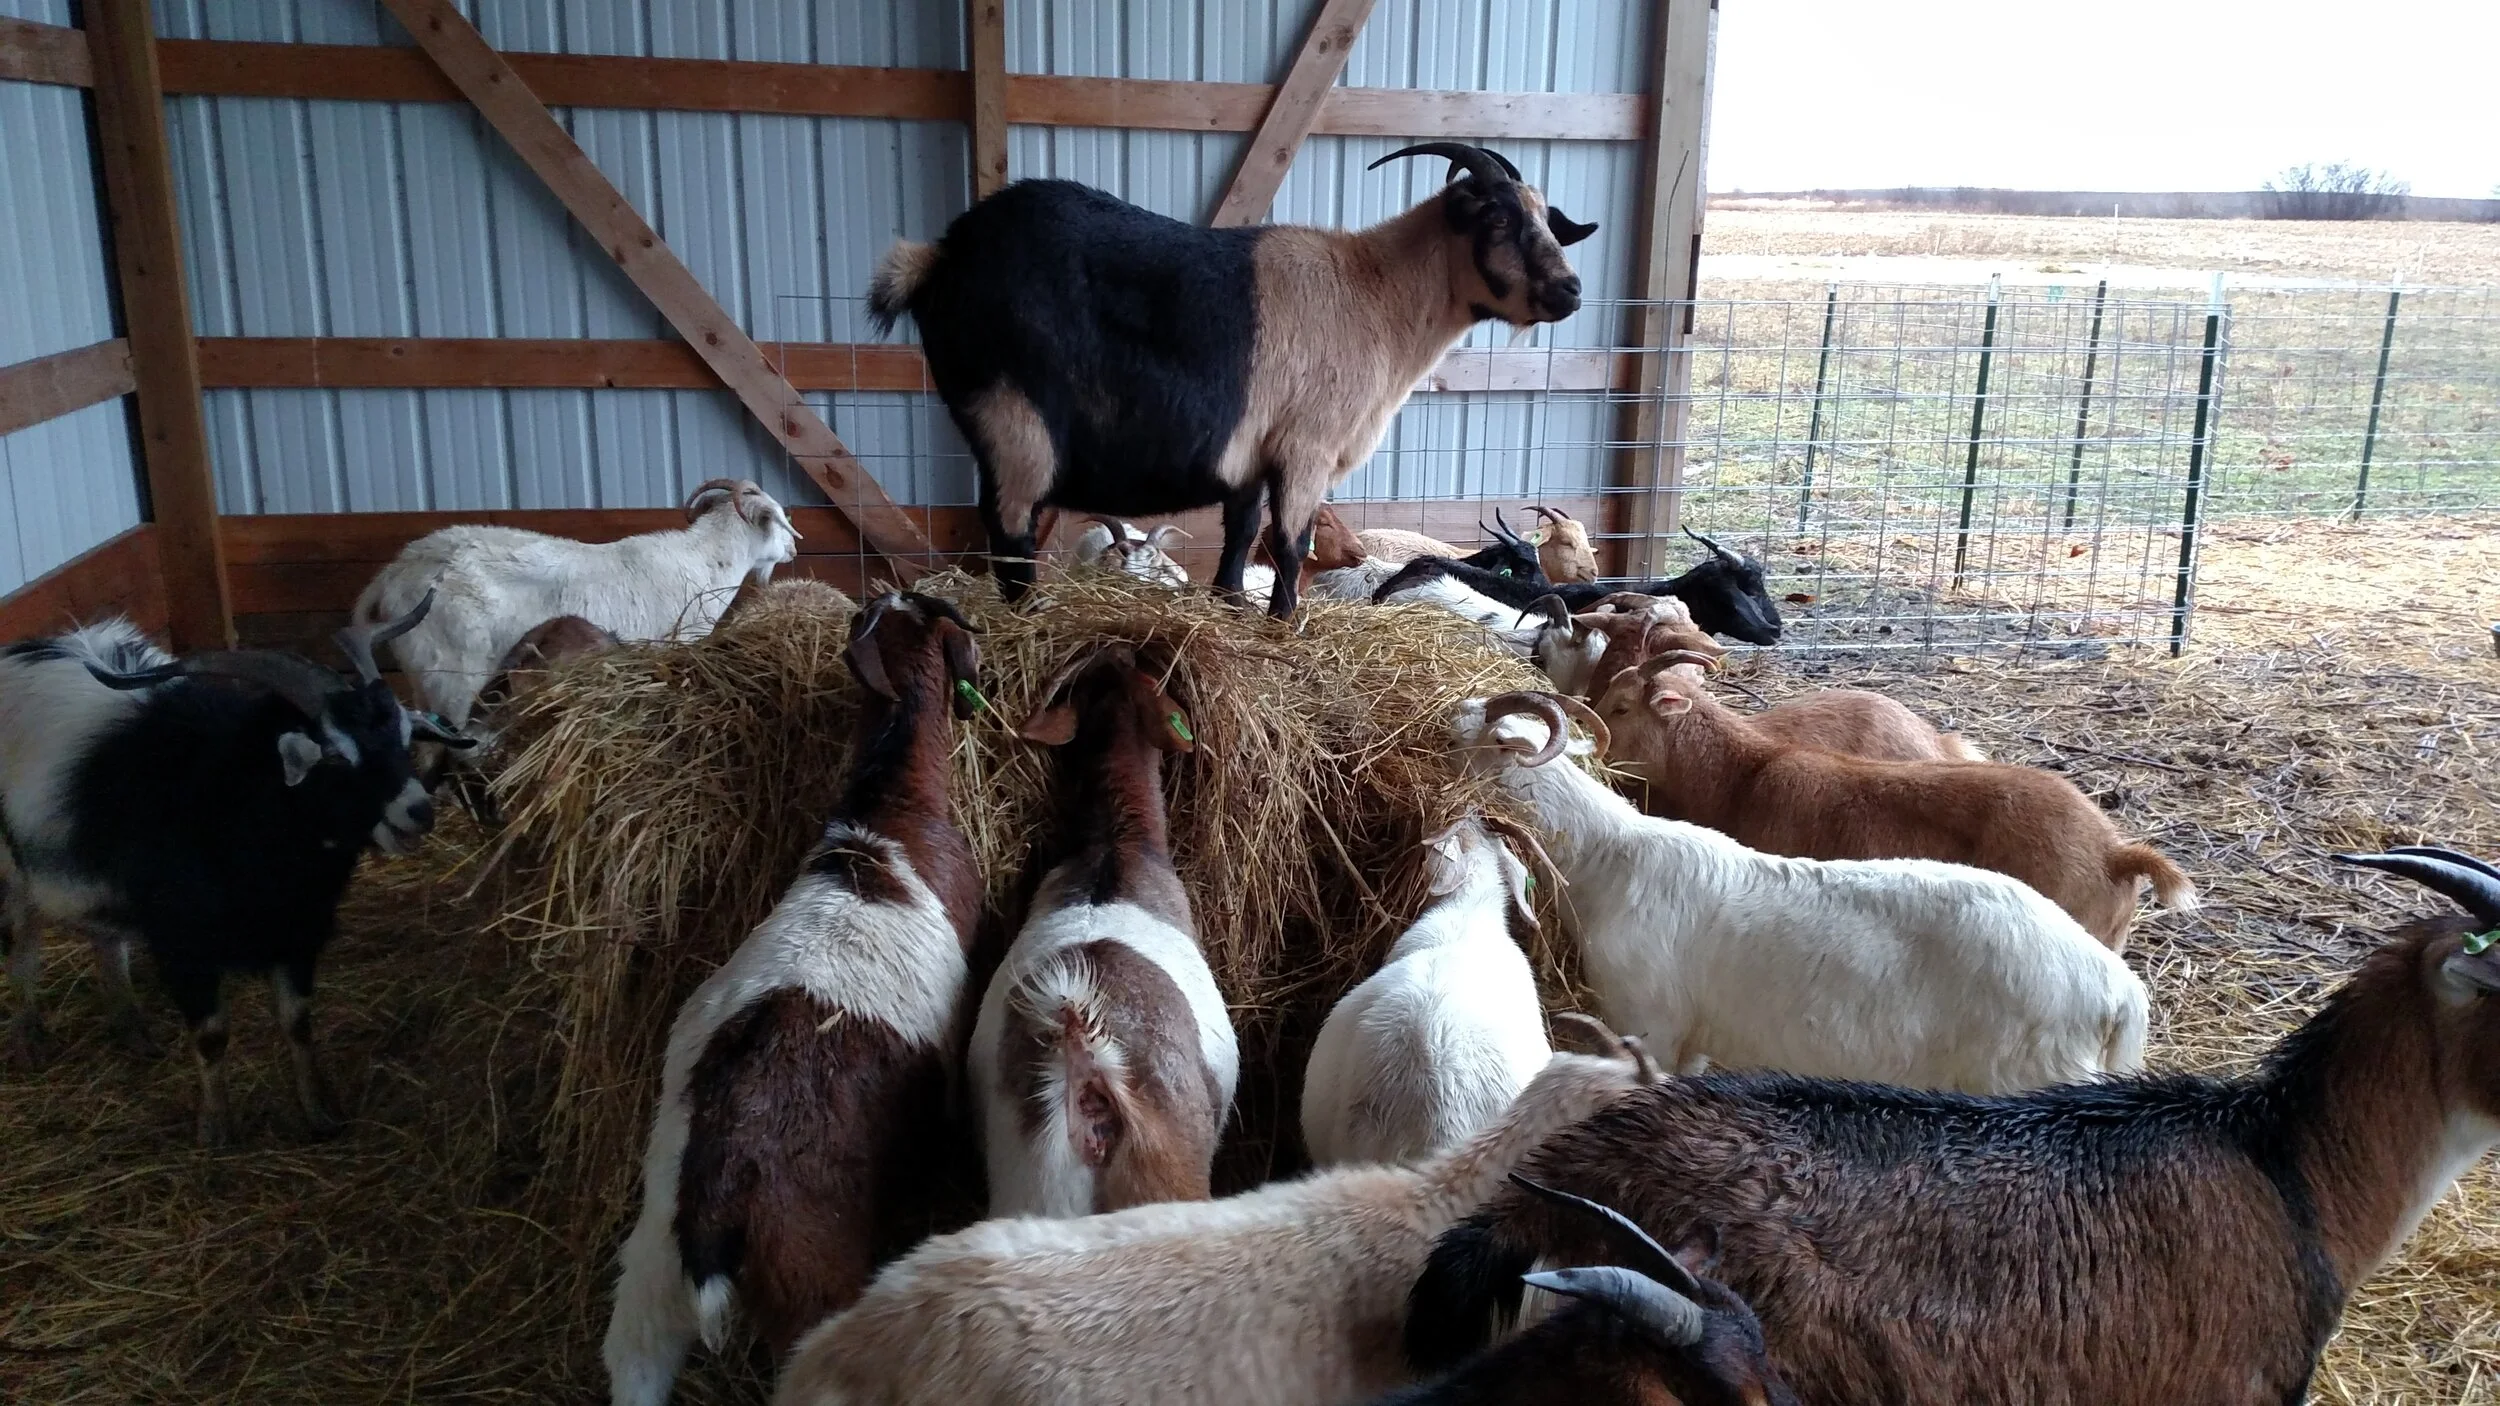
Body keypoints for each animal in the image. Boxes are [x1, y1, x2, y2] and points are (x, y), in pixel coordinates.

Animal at [0, 597, 465, 1144]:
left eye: (405, 738)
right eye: (332, 756)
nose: (419, 812)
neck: (227, 799)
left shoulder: (296, 934)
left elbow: (298, 1023)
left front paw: (319, 1113)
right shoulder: (182, 943)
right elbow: (212, 1035)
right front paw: (216, 1130)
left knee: (105, 940)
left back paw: (134, 1031)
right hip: (13, 874)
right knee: (23, 944)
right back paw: (30, 1039)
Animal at [354, 478, 800, 729]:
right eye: (779, 519)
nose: (795, 548)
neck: (706, 561)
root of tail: (390, 577)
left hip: (426, 681)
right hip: (452, 677)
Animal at [866, 146, 1594, 617]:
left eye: (1546, 219)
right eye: (1497, 218)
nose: (1571, 291)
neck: (1376, 295)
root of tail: (936, 260)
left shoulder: (1253, 454)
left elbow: (1241, 535)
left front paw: (1231, 606)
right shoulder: (1306, 449)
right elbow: (1292, 546)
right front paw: (1284, 625)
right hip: (1015, 422)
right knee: (1011, 531)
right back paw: (1028, 622)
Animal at [1452, 692, 2146, 1093]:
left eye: (1464, 734)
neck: (1608, 857)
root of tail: (2116, 989)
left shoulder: (1650, 1023)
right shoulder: (1692, 1040)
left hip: (2023, 1077)